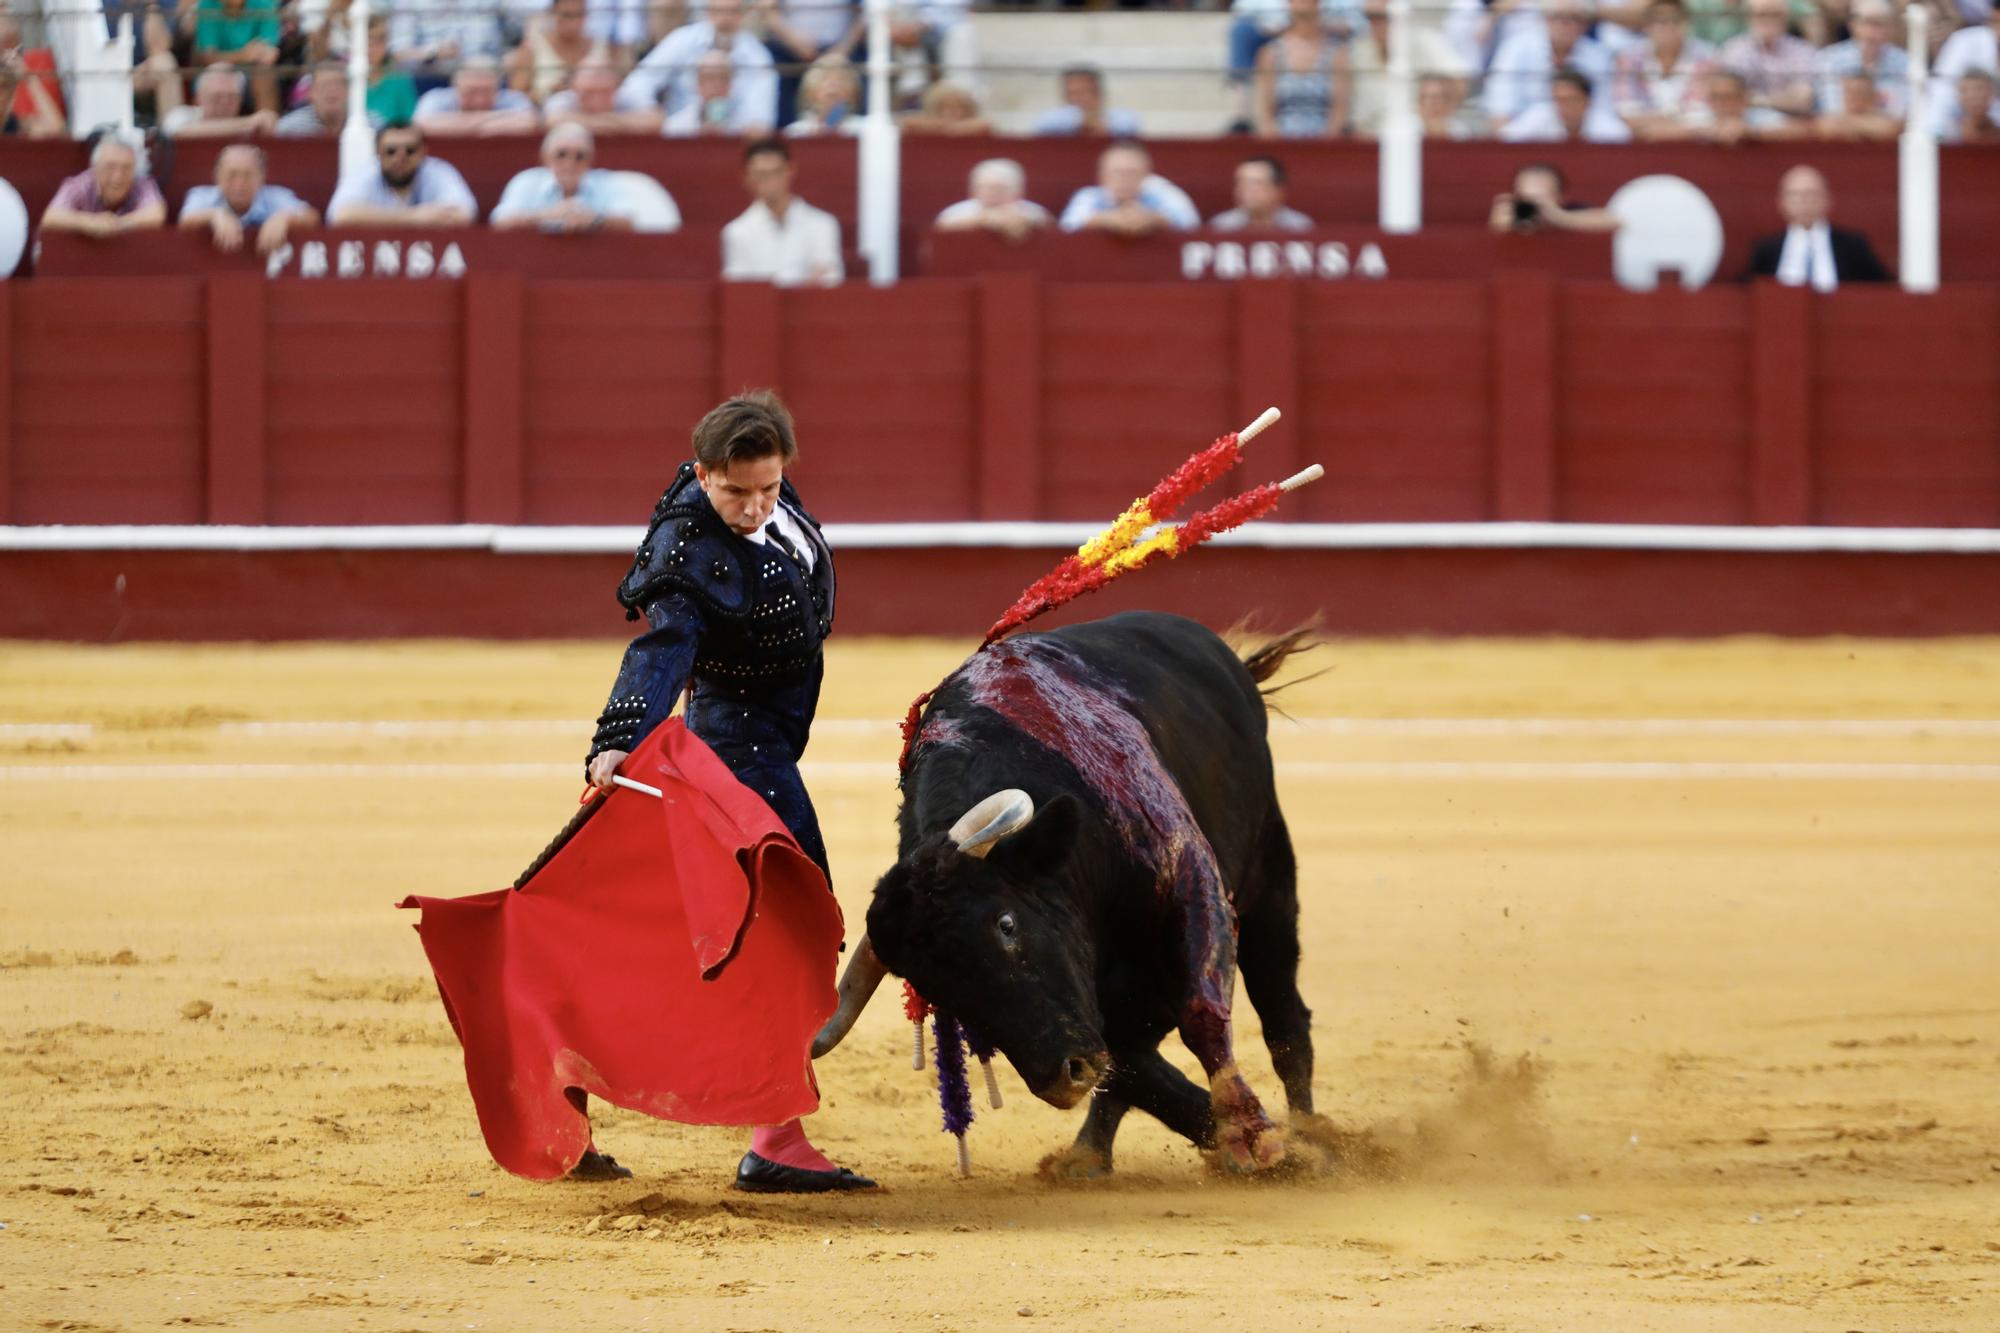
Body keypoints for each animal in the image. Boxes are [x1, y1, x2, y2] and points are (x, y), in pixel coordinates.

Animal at [804, 608, 1336, 1168]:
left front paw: (1260, 1137)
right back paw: (1086, 1158)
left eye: (1007, 924)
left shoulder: (1190, 876)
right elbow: (1135, 1070)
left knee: (1283, 1014)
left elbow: (1199, 1013)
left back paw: (1310, 1130)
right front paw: (1235, 1139)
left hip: (1269, 880)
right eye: (935, 988)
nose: (1065, 1079)